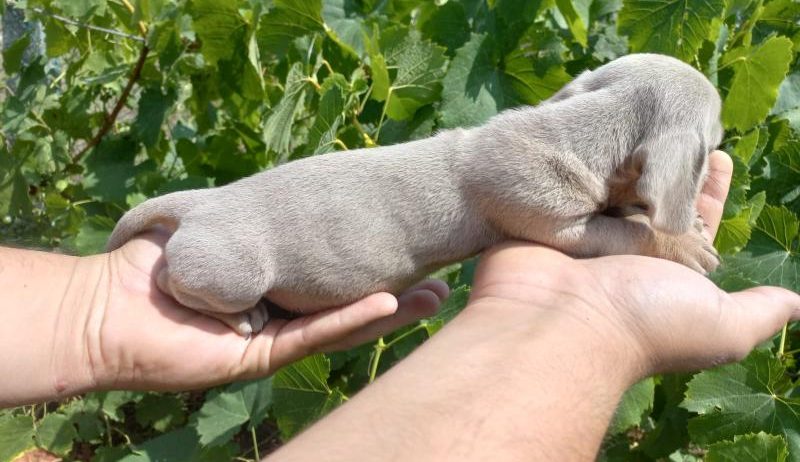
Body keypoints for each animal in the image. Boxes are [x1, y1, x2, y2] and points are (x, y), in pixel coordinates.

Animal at [108, 53, 724, 336]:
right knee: (171, 283)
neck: (578, 133)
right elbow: (626, 232)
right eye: (716, 135)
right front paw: (687, 245)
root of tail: (198, 202)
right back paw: (243, 320)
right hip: (233, 271)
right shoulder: (552, 221)